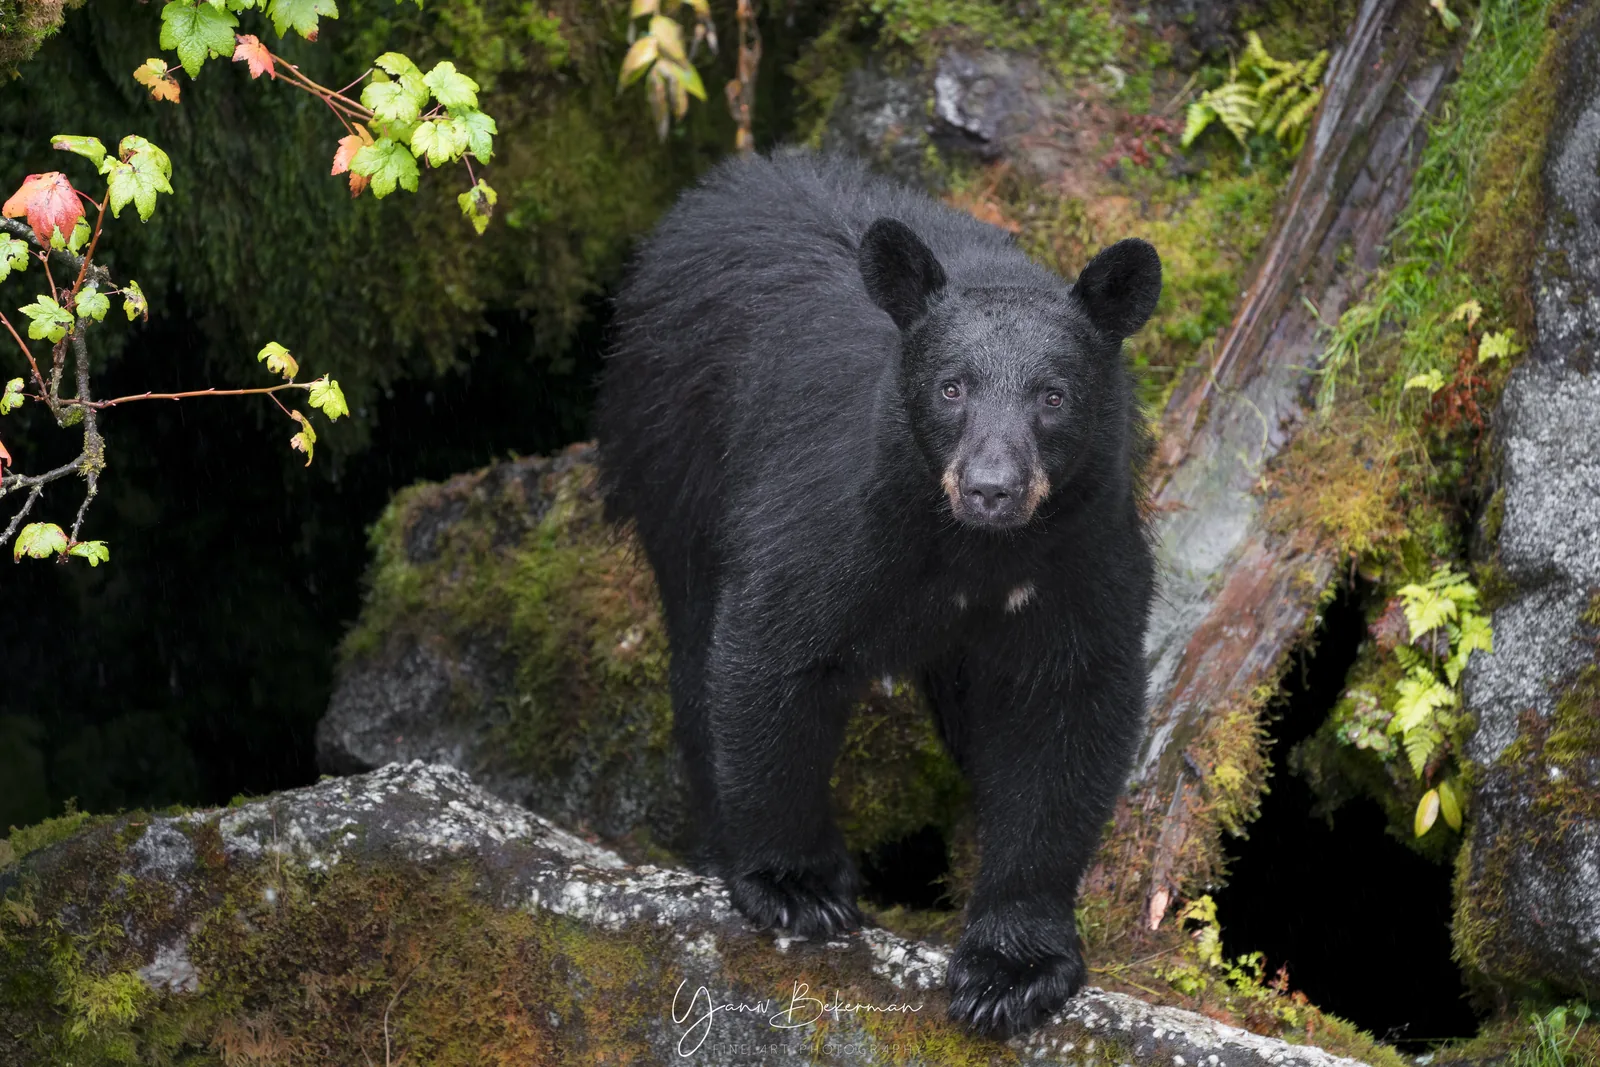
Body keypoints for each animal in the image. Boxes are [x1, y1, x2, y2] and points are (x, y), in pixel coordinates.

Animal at [596, 150, 1159, 1039]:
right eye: (952, 387)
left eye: (1054, 395)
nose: (991, 487)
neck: (972, 551)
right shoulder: (834, 523)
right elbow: (772, 657)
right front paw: (797, 887)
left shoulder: (1082, 557)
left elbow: (1066, 713)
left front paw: (1013, 968)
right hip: (674, 449)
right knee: (695, 644)